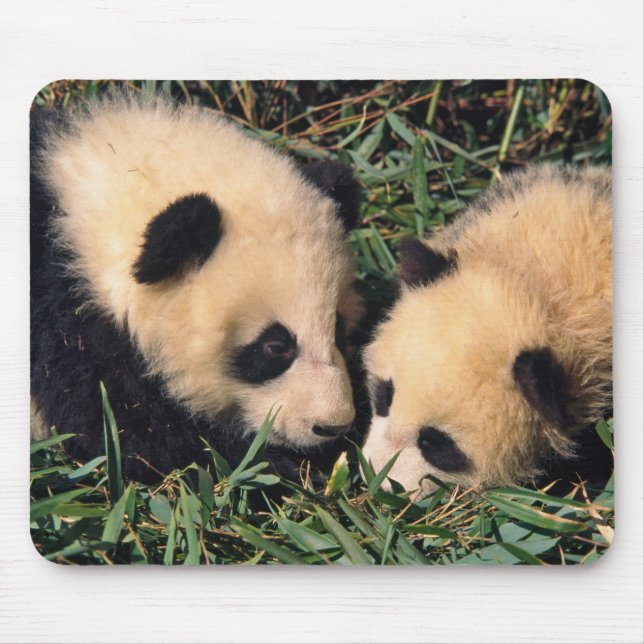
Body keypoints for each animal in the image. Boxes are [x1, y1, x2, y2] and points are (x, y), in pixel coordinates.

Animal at [30, 91, 363, 484]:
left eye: (338, 328)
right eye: (276, 346)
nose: (333, 425)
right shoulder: (66, 323)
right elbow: (136, 434)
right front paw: (281, 468)